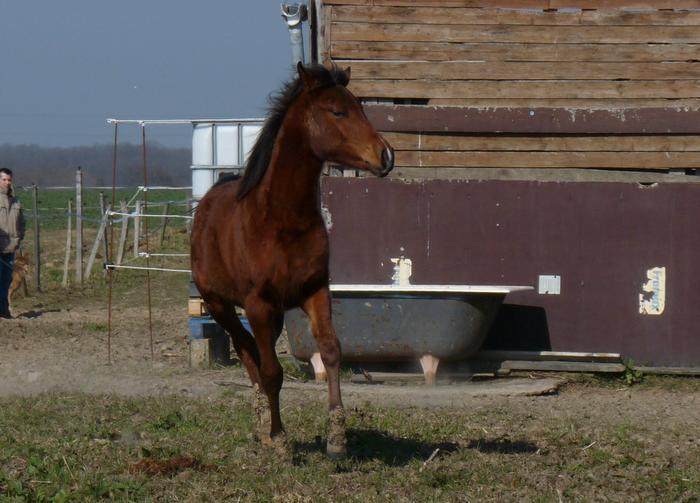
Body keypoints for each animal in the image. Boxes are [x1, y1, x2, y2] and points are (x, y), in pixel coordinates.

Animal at [189, 61, 392, 458]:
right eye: (338, 111)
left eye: (360, 107)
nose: (385, 156)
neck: (281, 220)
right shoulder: (258, 304)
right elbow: (271, 371)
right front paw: (281, 440)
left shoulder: (315, 291)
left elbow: (331, 351)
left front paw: (337, 439)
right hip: (220, 305)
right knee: (247, 351)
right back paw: (264, 429)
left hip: (273, 312)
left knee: (253, 352)